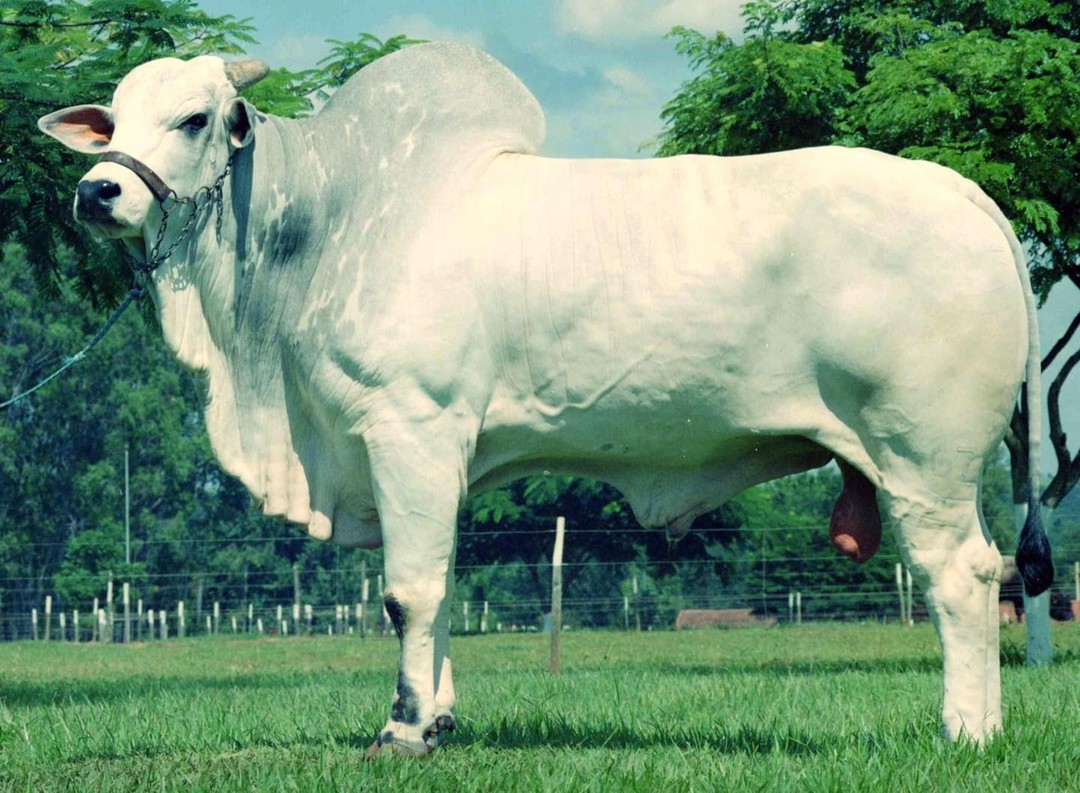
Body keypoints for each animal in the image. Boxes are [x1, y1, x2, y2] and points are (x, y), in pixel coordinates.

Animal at [39, 41, 1045, 751]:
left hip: (925, 457)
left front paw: (405, 728)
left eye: (196, 117)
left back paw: (966, 731)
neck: (326, 225)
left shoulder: (411, 427)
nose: (99, 191)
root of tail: (967, 195)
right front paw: (442, 718)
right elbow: (442, 586)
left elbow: (408, 591)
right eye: (114, 120)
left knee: (963, 577)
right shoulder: (427, 456)